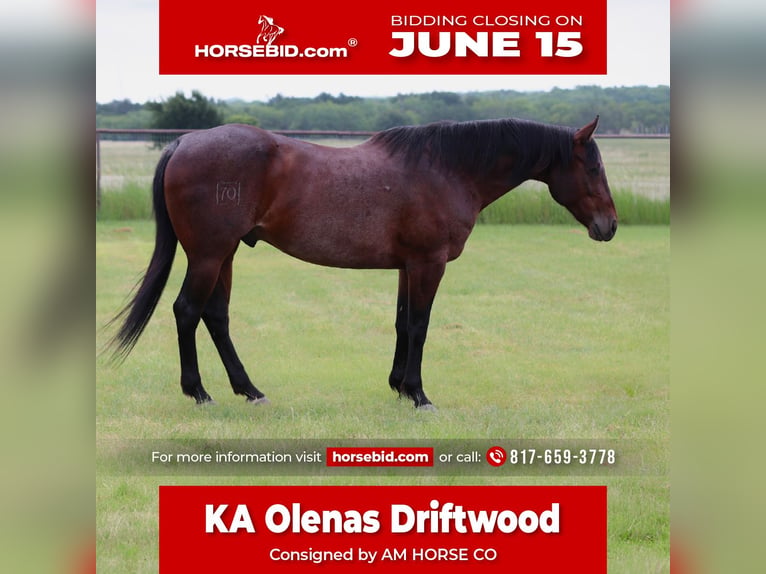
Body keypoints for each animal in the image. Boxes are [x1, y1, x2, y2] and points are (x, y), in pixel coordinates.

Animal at [107, 116, 617, 410]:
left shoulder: (408, 266)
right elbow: (419, 325)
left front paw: (398, 386)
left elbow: (401, 323)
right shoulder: (429, 263)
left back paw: (249, 390)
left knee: (215, 317)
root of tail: (183, 143)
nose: (609, 226)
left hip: (225, 254)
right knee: (187, 312)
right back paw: (199, 392)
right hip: (209, 255)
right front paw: (418, 394)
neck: (446, 169)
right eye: (593, 168)